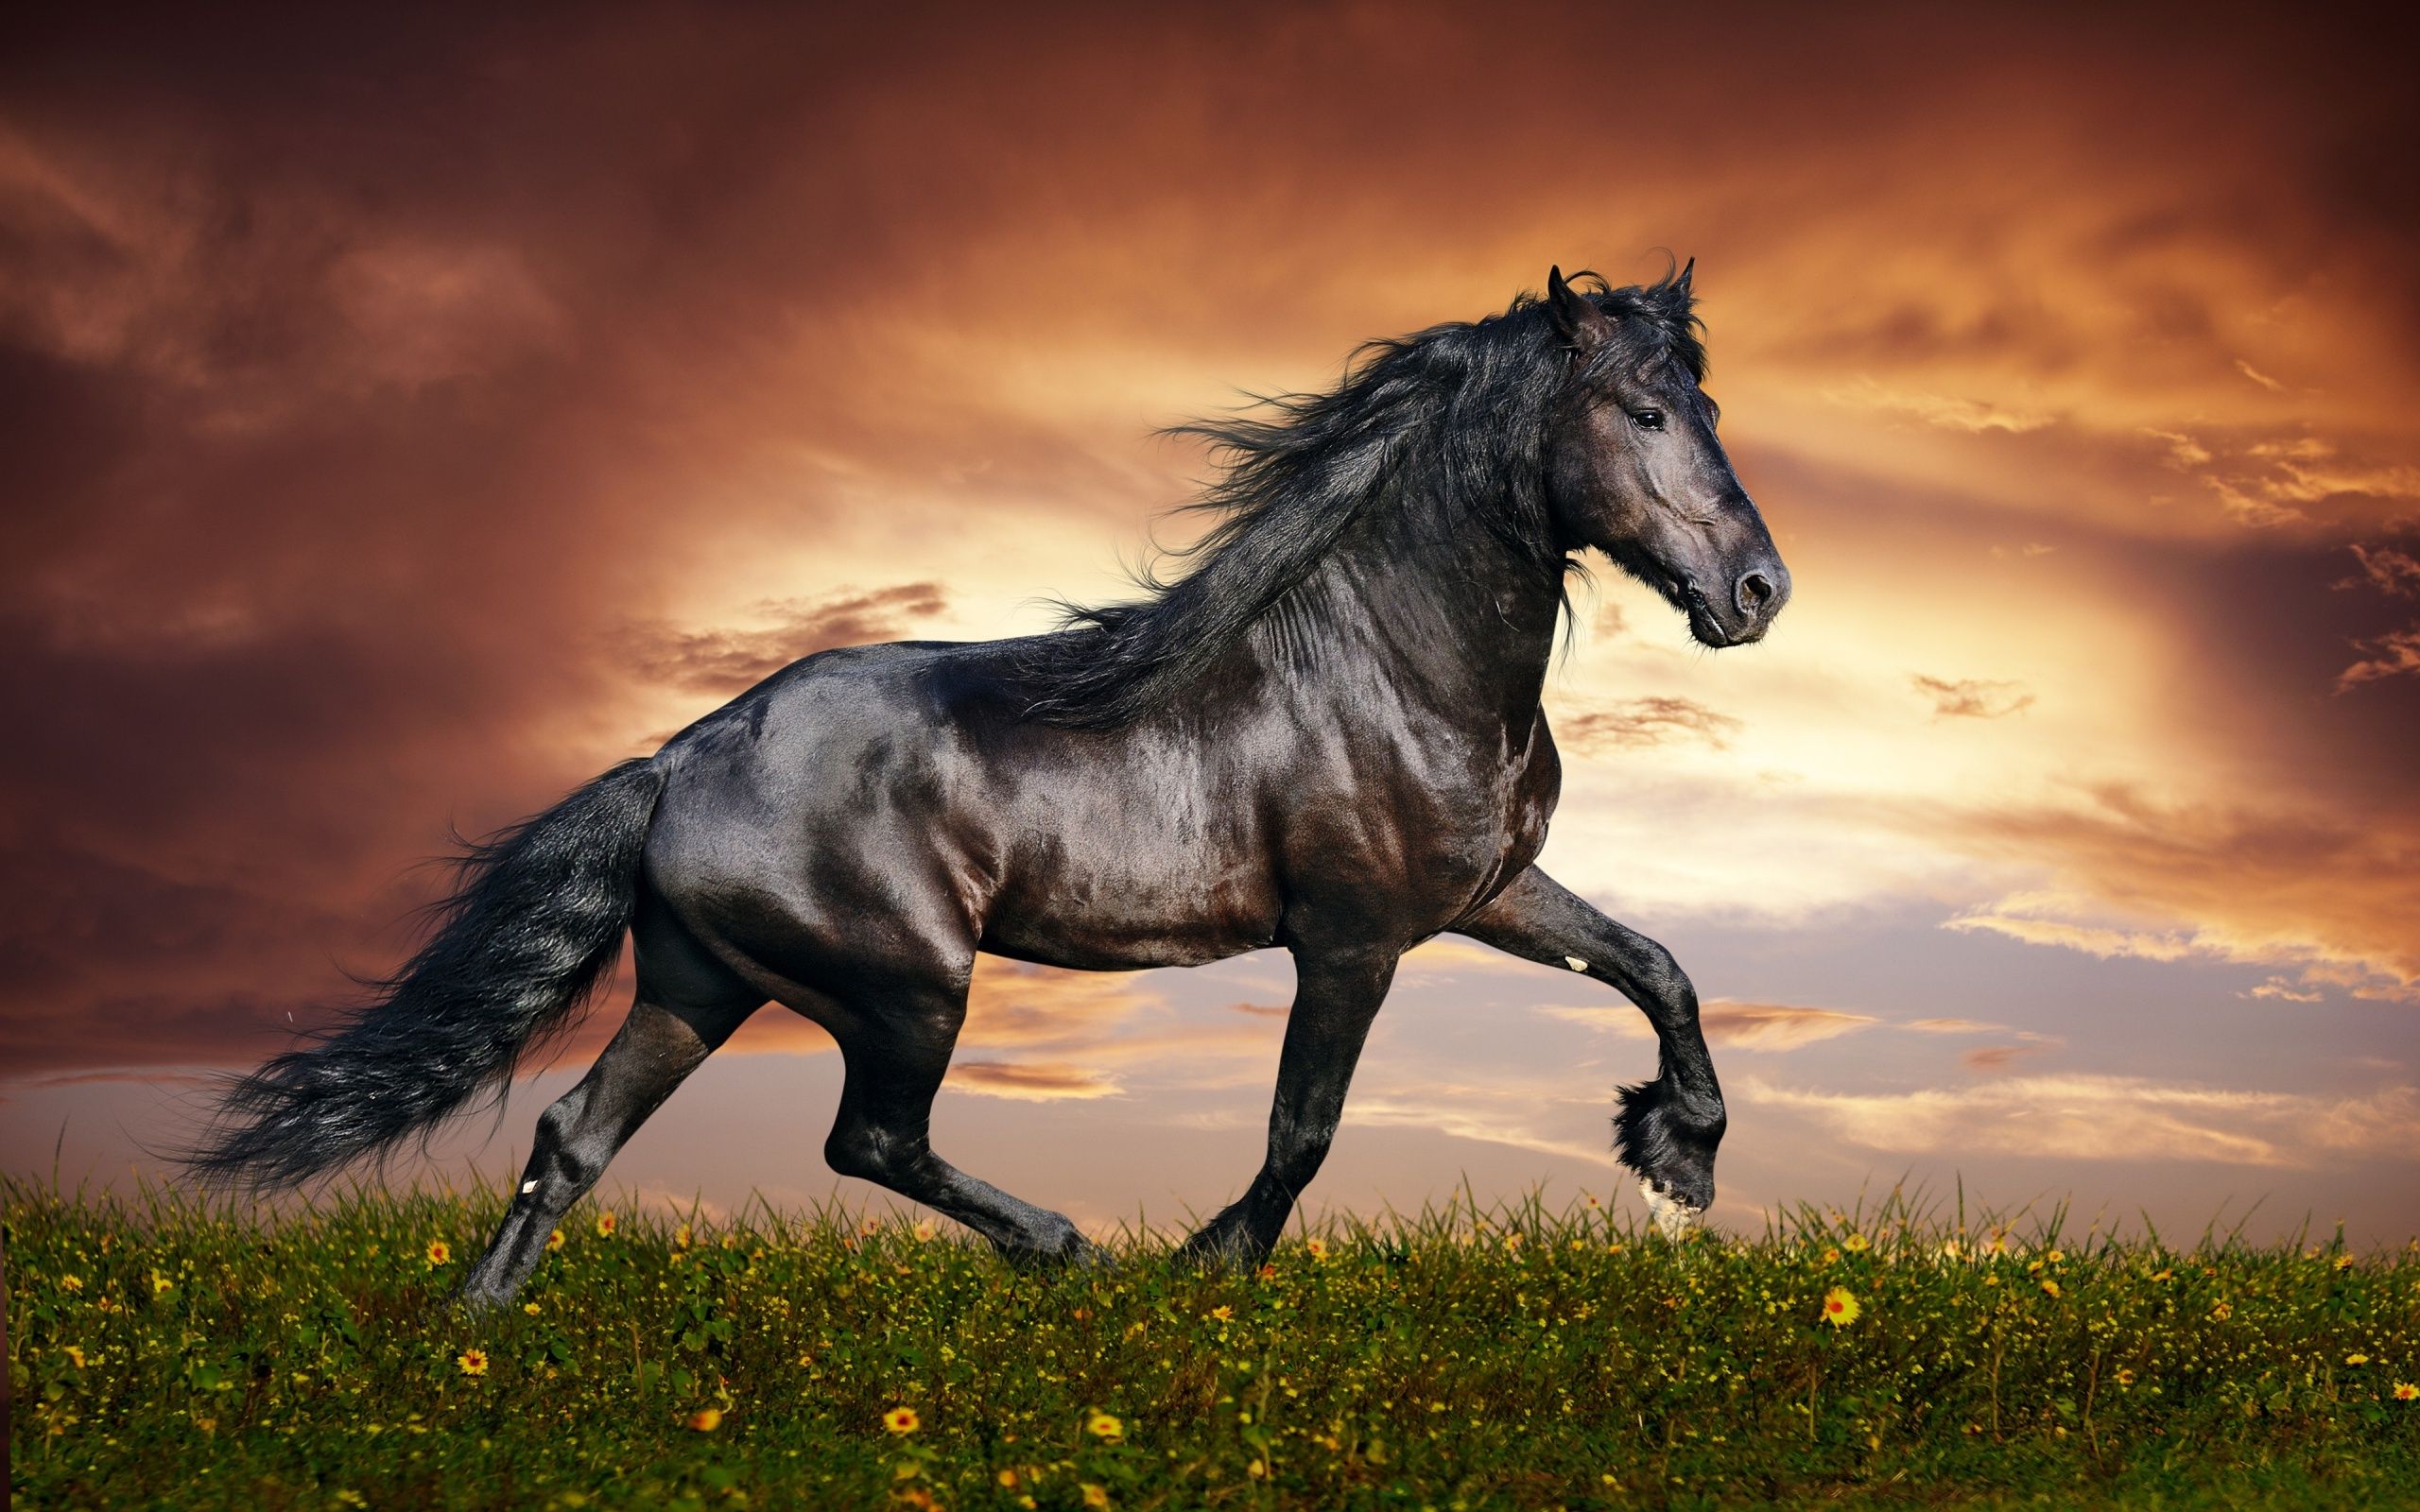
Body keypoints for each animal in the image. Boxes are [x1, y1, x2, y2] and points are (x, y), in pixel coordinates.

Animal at [188, 265, 1790, 1306]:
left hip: (700, 984)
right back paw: (1067, 1249)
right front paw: (1205, 1269)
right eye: (1642, 413)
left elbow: (1659, 966)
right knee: (868, 1139)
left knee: (572, 1140)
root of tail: (677, 760)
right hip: (908, 984)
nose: (1758, 592)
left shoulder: (1487, 892)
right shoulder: (1353, 938)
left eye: (1707, 404)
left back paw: (478, 1342)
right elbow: (1305, 1128)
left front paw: (1678, 1160)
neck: (1388, 661)